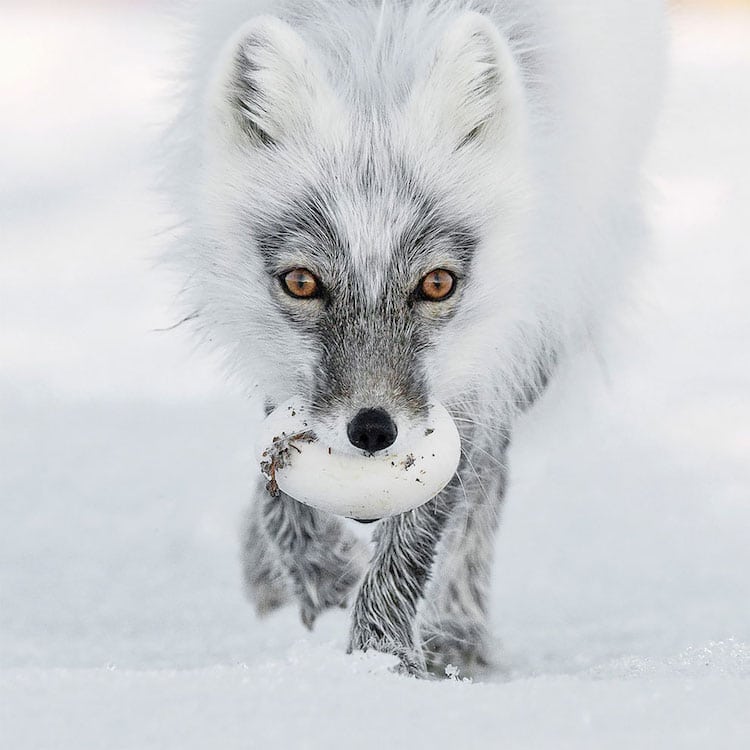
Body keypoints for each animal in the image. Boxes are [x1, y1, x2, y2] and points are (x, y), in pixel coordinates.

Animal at [167, 0, 668, 676]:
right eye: (301, 282)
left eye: (436, 283)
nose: (373, 431)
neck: (379, 57)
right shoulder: (279, 362)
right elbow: (279, 479)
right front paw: (318, 571)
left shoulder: (475, 372)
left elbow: (422, 530)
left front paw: (380, 663)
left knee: (487, 481)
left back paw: (457, 630)